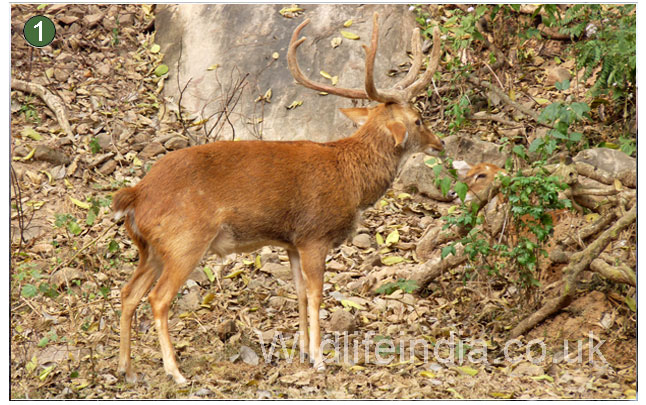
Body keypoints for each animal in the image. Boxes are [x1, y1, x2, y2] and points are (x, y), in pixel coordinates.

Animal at [112, 12, 446, 384]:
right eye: (418, 119)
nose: (440, 143)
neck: (352, 180)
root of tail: (136, 195)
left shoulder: (292, 241)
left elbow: (298, 291)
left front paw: (302, 350)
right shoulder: (315, 234)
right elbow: (316, 293)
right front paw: (319, 359)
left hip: (152, 248)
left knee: (128, 293)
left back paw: (126, 369)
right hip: (185, 240)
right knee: (158, 298)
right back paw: (175, 372)